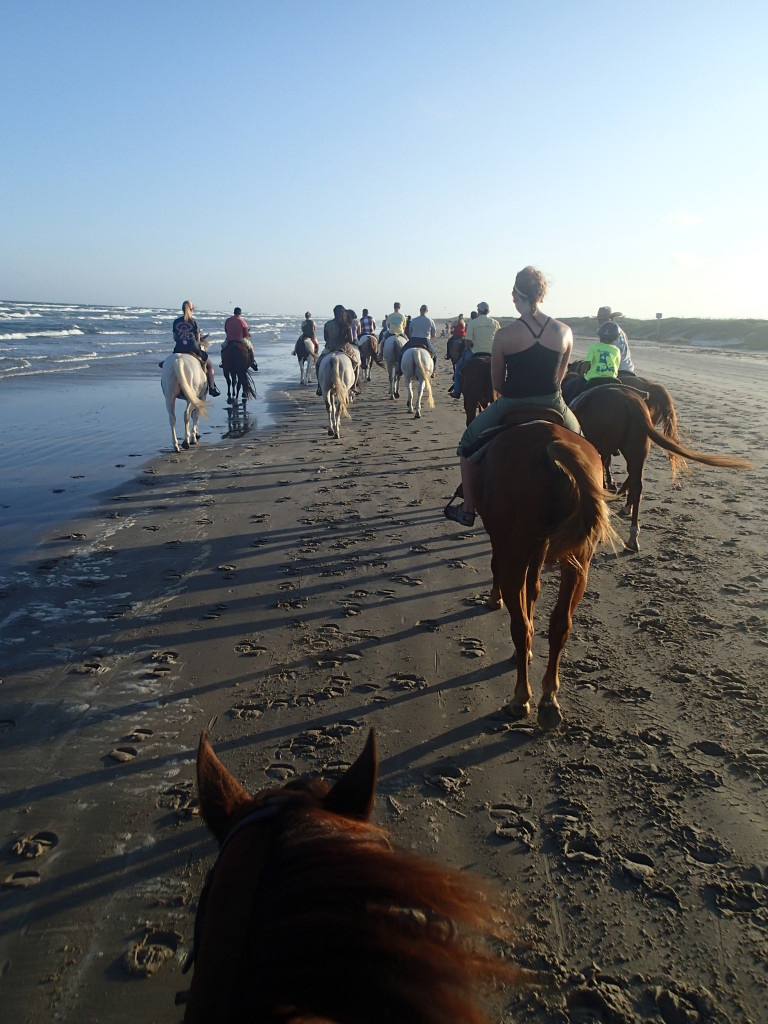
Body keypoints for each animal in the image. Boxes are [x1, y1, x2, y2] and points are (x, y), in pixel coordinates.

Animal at [462, 411, 618, 733]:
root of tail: (551, 446)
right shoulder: (539, 548)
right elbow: (533, 590)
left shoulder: (506, 543)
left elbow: (505, 576)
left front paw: (494, 598)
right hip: (578, 560)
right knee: (561, 623)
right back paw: (548, 699)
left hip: (517, 550)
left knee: (520, 626)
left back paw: (521, 698)